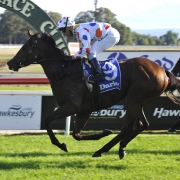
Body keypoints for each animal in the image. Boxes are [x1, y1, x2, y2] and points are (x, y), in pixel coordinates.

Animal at [7, 30, 180, 160]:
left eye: (26, 46)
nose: (10, 63)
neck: (64, 71)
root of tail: (162, 70)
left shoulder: (72, 106)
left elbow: (48, 120)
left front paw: (61, 145)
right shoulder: (84, 110)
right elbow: (76, 134)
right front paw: (103, 132)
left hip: (134, 100)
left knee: (127, 128)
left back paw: (101, 150)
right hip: (138, 100)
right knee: (142, 125)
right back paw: (121, 148)